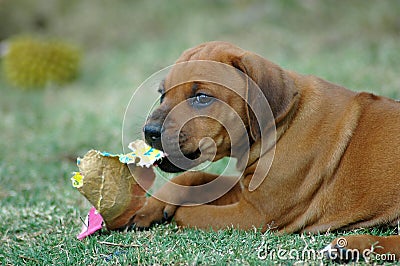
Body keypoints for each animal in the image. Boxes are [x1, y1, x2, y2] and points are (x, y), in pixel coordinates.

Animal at [134, 41, 400, 260]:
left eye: (201, 97)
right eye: (162, 94)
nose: (149, 131)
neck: (280, 126)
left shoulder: (254, 214)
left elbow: (187, 214)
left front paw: (174, 210)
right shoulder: (246, 191)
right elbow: (192, 177)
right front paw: (151, 208)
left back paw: (350, 246)